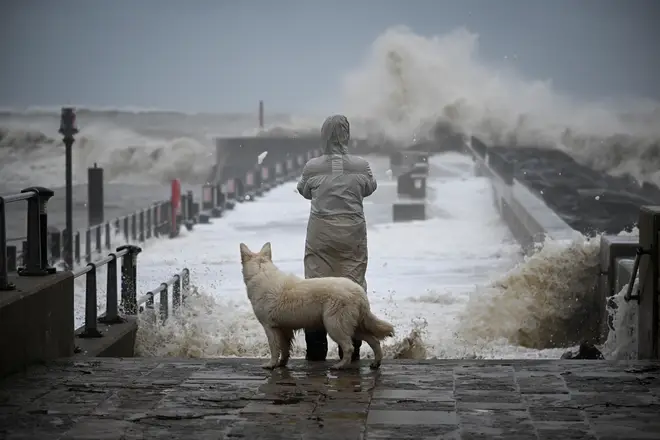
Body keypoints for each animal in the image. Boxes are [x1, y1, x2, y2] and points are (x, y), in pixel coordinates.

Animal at [240, 242, 394, 370]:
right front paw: (281, 364)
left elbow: (274, 348)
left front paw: (271, 364)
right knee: (374, 341)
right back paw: (376, 363)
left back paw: (340, 366)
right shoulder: (284, 328)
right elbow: (285, 349)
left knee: (349, 347)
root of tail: (359, 291)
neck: (261, 271)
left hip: (334, 325)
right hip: (353, 327)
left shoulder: (270, 327)